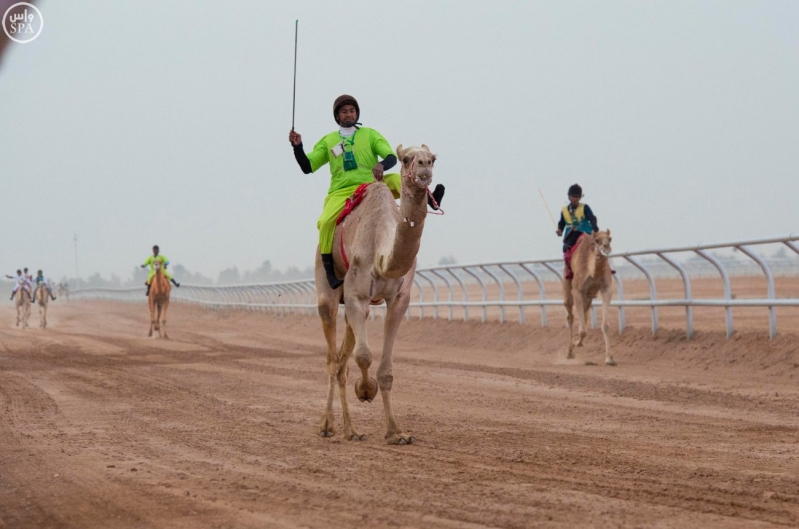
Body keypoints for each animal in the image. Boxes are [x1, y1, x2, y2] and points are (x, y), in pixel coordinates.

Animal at [314, 142, 438, 444]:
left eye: (433, 158)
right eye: (406, 158)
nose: (425, 166)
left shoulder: (399, 299)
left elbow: (386, 370)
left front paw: (396, 433)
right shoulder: (356, 295)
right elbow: (364, 356)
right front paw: (365, 391)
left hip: (361, 308)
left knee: (342, 363)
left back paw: (352, 430)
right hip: (327, 288)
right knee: (332, 359)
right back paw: (328, 426)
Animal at [564, 229, 620, 366]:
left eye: (610, 238)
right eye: (597, 240)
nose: (606, 247)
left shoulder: (606, 289)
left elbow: (605, 325)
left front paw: (610, 358)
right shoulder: (577, 291)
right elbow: (583, 329)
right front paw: (576, 343)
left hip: (588, 297)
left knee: (585, 316)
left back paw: (587, 358)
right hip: (568, 287)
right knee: (571, 316)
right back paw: (570, 352)